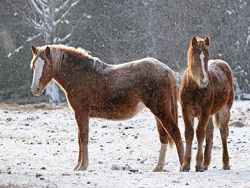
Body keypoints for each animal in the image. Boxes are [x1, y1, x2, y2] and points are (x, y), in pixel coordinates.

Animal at [29, 44, 184, 171]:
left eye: (45, 65)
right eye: (34, 66)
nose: (35, 89)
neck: (80, 75)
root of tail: (167, 70)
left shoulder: (81, 114)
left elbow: (83, 138)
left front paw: (83, 166)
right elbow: (80, 139)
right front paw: (78, 166)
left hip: (161, 111)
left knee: (175, 132)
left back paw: (184, 166)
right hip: (157, 112)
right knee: (164, 137)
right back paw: (158, 167)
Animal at [180, 36, 234, 172]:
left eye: (207, 57)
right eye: (195, 57)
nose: (204, 81)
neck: (195, 89)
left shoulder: (204, 112)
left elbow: (200, 133)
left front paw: (198, 165)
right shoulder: (186, 111)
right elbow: (189, 133)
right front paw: (185, 165)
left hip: (225, 110)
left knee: (223, 132)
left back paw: (225, 163)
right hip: (209, 114)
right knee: (210, 132)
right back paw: (206, 163)